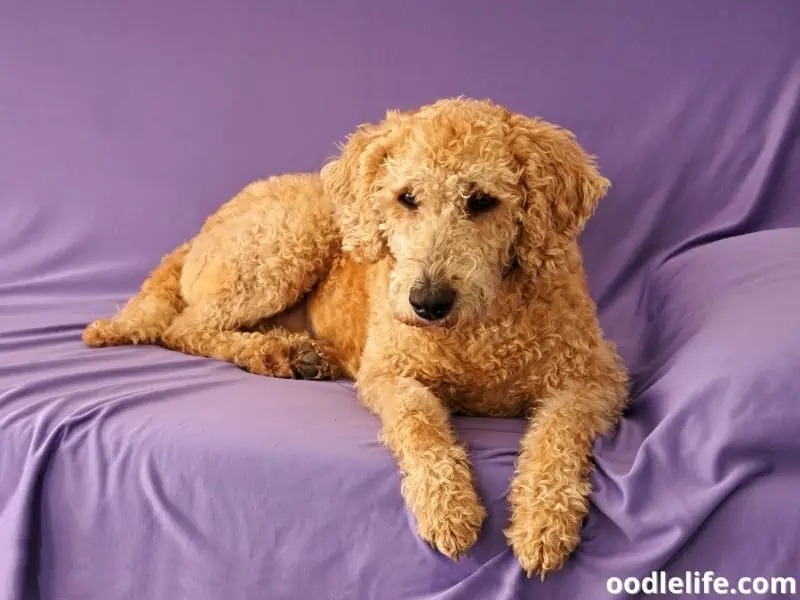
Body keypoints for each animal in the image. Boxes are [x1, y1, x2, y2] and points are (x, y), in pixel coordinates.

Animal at [83, 97, 632, 576]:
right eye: (407, 198)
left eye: (482, 201)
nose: (427, 302)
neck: (476, 331)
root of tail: (199, 232)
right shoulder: (389, 373)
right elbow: (418, 423)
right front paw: (447, 506)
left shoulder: (594, 378)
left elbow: (558, 431)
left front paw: (544, 523)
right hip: (285, 244)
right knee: (186, 327)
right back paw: (275, 352)